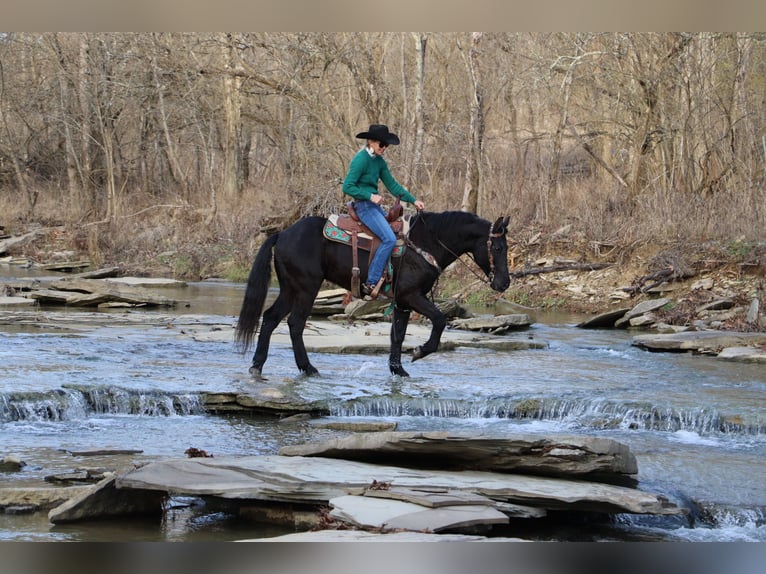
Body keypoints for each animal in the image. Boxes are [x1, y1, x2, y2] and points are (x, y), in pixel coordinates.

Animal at [234, 210, 510, 378]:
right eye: (497, 247)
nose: (504, 283)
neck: (425, 244)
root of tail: (282, 234)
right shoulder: (412, 296)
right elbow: (440, 320)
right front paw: (420, 352)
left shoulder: (402, 302)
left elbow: (397, 335)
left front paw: (398, 370)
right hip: (306, 288)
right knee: (295, 323)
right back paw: (308, 367)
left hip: (290, 288)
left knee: (271, 318)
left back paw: (257, 365)